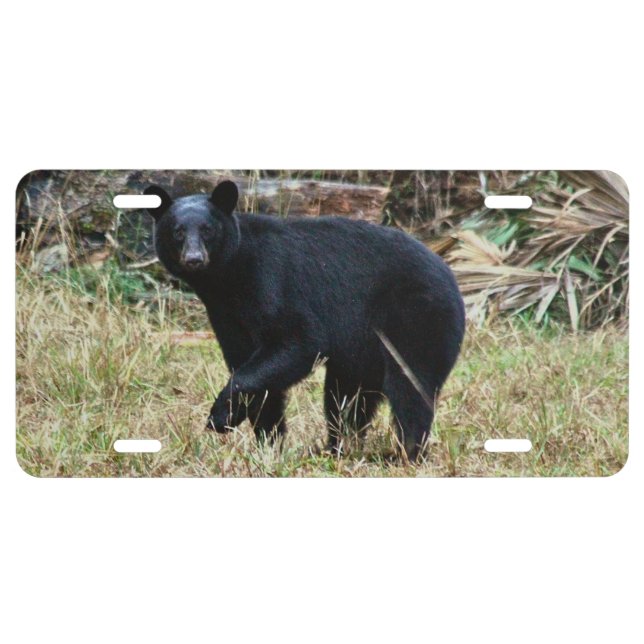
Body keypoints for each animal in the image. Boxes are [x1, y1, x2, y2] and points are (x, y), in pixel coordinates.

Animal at [145, 179, 465, 461]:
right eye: (177, 232)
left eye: (208, 230)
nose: (194, 259)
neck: (228, 279)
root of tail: (450, 275)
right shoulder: (227, 317)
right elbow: (255, 371)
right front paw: (268, 444)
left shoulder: (271, 281)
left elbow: (298, 341)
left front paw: (220, 416)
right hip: (364, 347)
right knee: (346, 397)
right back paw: (338, 448)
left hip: (417, 317)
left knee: (410, 386)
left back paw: (405, 454)